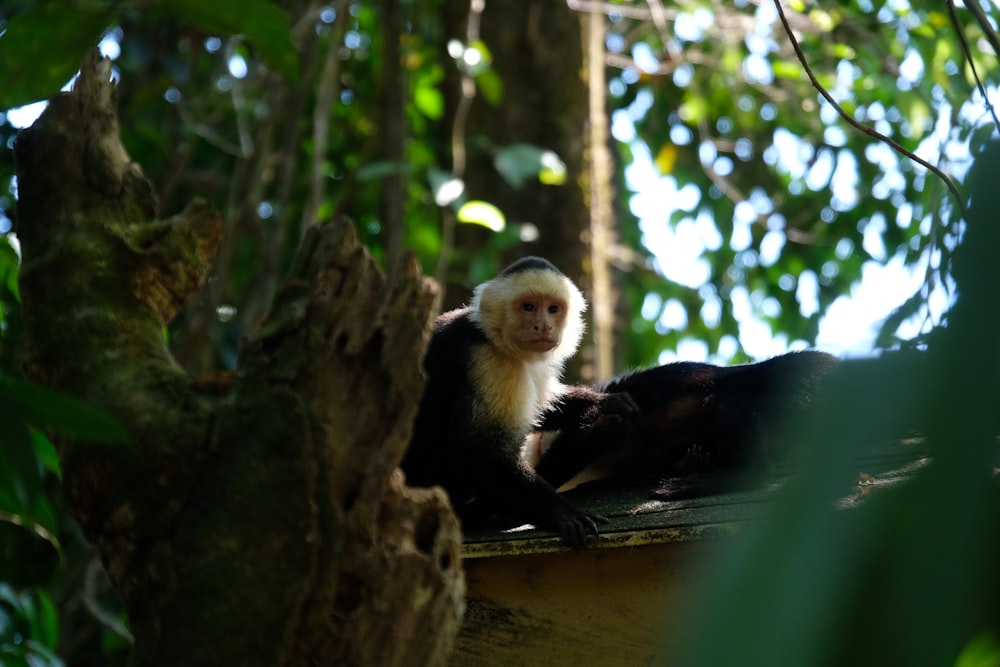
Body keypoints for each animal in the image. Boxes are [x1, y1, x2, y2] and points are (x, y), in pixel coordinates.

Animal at [402, 256, 636, 548]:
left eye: (553, 309)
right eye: (528, 307)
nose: (543, 326)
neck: (493, 336)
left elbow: (544, 404)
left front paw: (604, 402)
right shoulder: (489, 360)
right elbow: (477, 454)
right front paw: (562, 512)